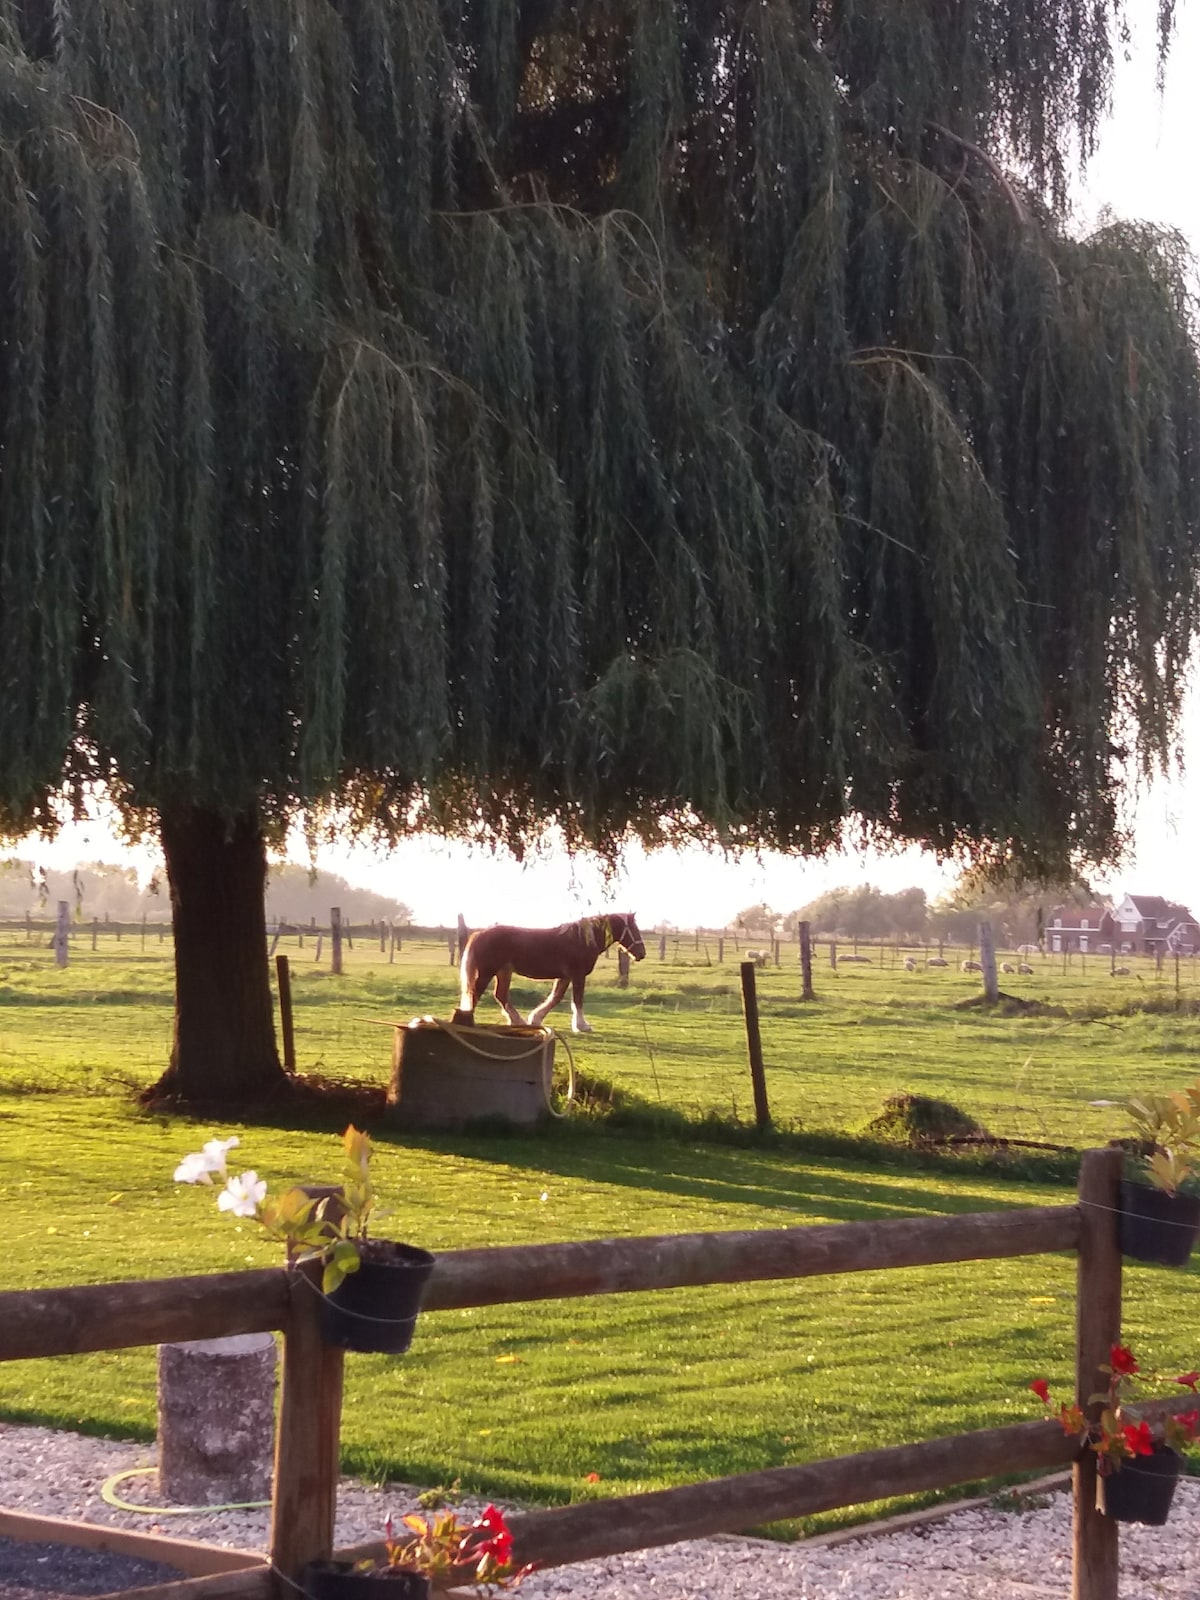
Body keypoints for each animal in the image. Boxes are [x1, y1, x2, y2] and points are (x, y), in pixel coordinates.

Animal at [457, 921, 649, 1030]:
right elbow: (577, 1000)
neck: (581, 939)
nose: (642, 953)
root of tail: (479, 934)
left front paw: (536, 1019)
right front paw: (582, 1026)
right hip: (487, 972)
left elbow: (556, 998)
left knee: (500, 995)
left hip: (503, 972)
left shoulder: (565, 977)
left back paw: (518, 1021)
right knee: (476, 993)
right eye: (633, 929)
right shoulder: (577, 975)